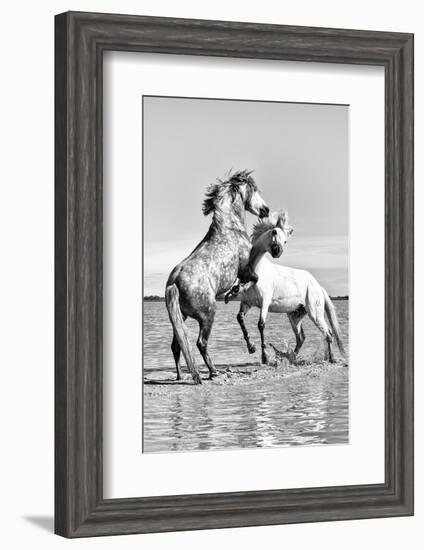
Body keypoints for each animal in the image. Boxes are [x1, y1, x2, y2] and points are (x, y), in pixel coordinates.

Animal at [165, 170, 268, 386]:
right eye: (254, 190)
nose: (265, 209)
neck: (229, 228)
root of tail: (174, 282)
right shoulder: (245, 269)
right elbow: (252, 279)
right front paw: (252, 346)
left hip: (181, 317)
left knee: (177, 346)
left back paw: (180, 375)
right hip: (208, 315)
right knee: (201, 343)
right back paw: (213, 372)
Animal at [230, 213, 346, 364]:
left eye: (285, 241)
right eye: (274, 232)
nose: (277, 252)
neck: (256, 272)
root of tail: (318, 287)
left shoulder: (264, 302)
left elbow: (261, 324)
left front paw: (264, 357)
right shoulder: (247, 303)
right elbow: (240, 318)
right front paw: (251, 348)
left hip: (315, 313)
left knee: (328, 332)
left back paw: (331, 358)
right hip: (295, 316)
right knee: (301, 338)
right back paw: (291, 357)